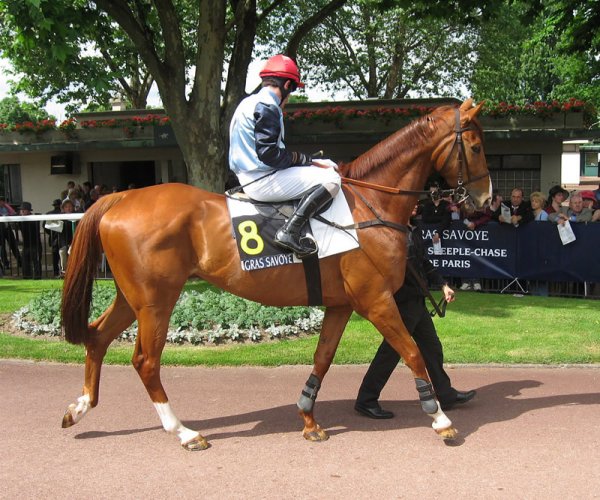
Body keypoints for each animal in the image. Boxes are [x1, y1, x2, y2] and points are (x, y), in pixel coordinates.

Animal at [62, 97, 492, 450]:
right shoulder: (376, 300)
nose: (485, 198)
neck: (368, 205)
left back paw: (80, 407)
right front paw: (440, 419)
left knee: (97, 337)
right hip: (157, 302)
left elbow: (323, 357)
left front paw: (309, 420)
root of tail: (120, 197)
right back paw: (184, 432)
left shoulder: (342, 304)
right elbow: (413, 352)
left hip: (132, 296)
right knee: (145, 361)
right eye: (475, 147)